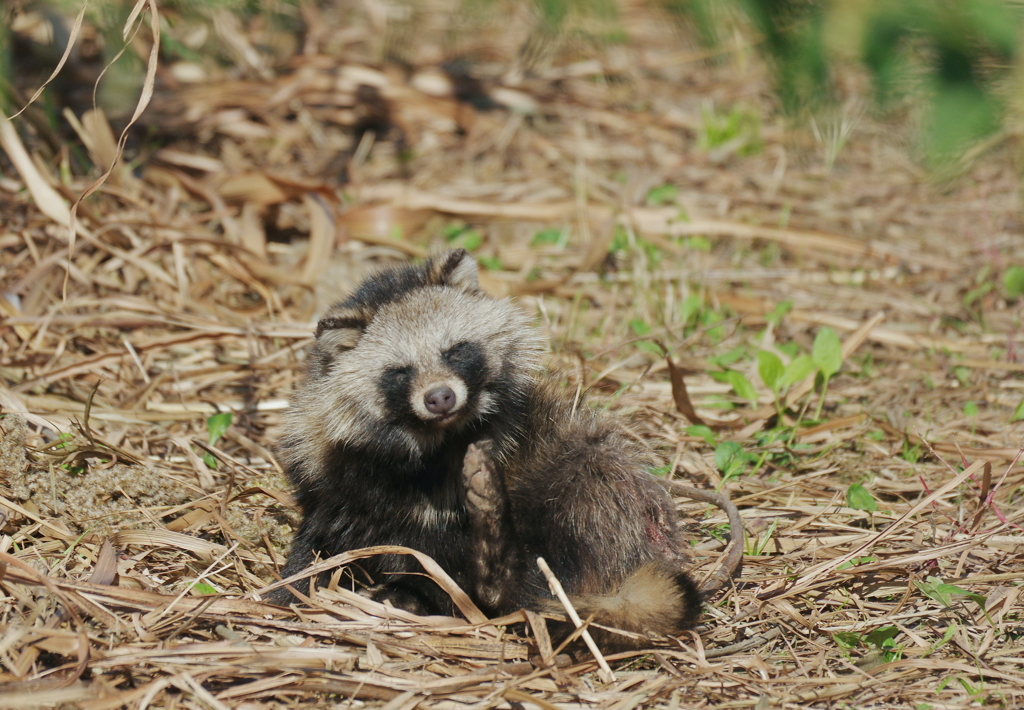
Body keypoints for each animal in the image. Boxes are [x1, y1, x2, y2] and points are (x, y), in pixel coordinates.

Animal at [276, 251, 700, 647]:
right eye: (399, 371)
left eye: (454, 351)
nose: (440, 397)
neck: (431, 445)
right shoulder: (338, 479)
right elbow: (322, 541)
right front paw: (291, 587)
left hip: (596, 480)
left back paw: (493, 564)